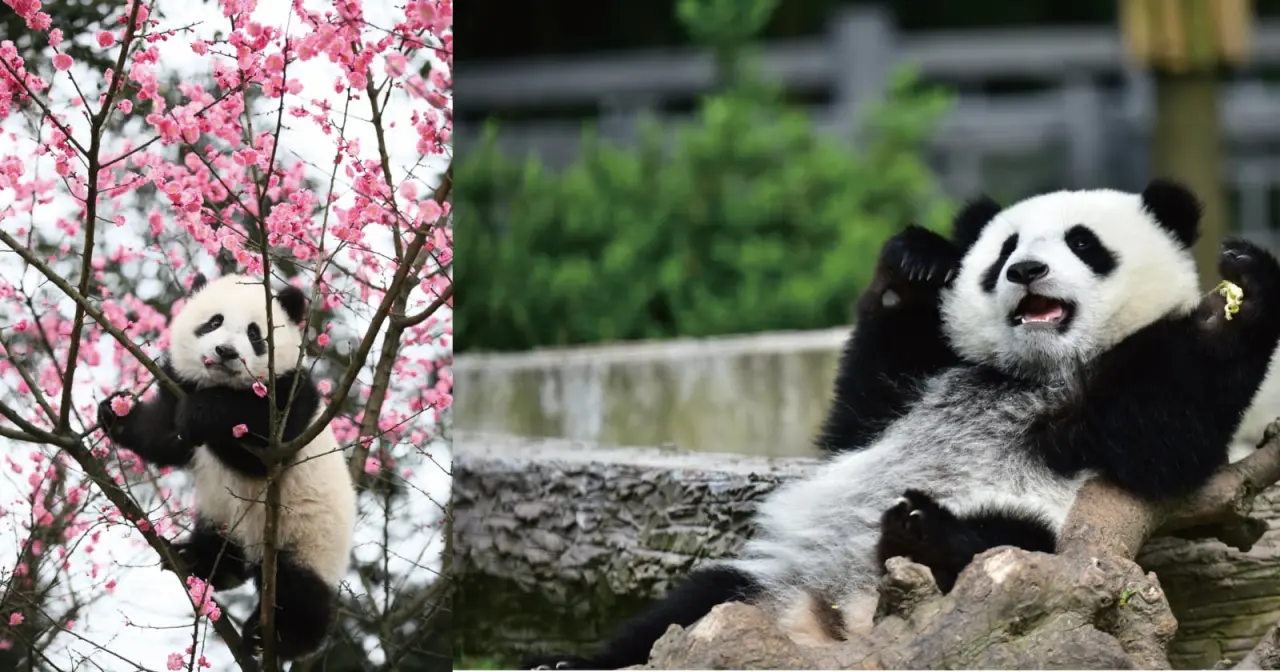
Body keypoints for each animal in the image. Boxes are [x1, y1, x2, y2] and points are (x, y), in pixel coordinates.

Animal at [96, 273, 358, 661]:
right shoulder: (179, 384)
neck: (220, 383)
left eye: (255, 334)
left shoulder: (289, 403)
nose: (226, 352)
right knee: (220, 544)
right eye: (213, 322)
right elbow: (165, 436)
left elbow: (256, 446)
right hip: (223, 516)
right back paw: (198, 561)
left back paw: (276, 637)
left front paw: (202, 412)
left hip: (309, 537)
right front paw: (117, 411)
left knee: (298, 591)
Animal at [524, 180, 1280, 670]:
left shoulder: (1111, 428)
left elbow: (1164, 436)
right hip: (758, 594)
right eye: (1003, 248)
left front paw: (1240, 298)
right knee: (682, 613)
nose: (1027, 269)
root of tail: (842, 626)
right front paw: (918, 261)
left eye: (1083, 242)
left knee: (1003, 545)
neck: (1034, 372)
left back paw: (924, 532)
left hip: (1034, 540)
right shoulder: (912, 389)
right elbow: (858, 410)